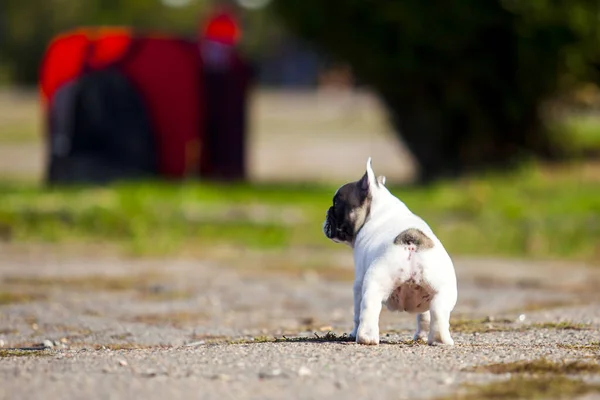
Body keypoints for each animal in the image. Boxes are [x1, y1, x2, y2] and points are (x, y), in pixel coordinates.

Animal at [326, 158, 458, 346]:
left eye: (336, 203)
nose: (328, 211)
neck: (380, 209)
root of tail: (410, 241)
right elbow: (424, 317)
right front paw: (422, 336)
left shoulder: (358, 282)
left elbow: (357, 313)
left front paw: (352, 333)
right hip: (443, 292)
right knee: (438, 313)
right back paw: (440, 340)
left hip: (373, 282)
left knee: (368, 310)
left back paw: (366, 338)